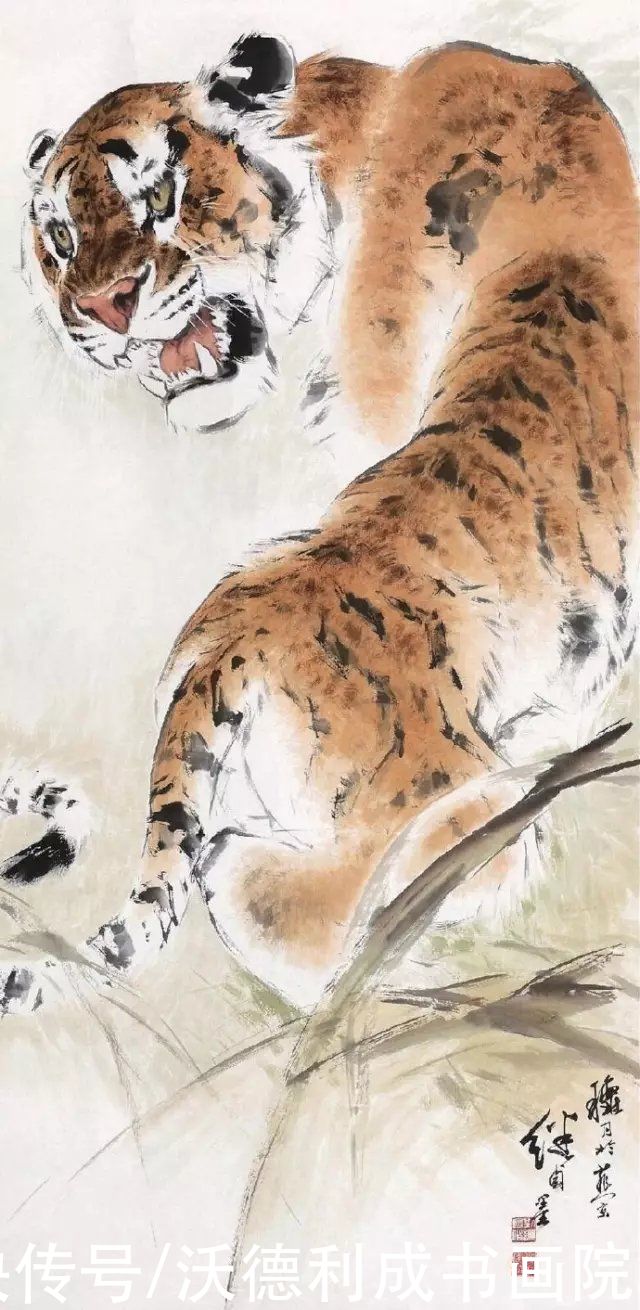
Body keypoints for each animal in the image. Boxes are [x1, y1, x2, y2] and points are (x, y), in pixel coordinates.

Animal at [1, 33, 637, 1013]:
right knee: (311, 911)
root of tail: (230, 647)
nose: (97, 311)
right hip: (467, 804)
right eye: (60, 239)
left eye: (161, 197)